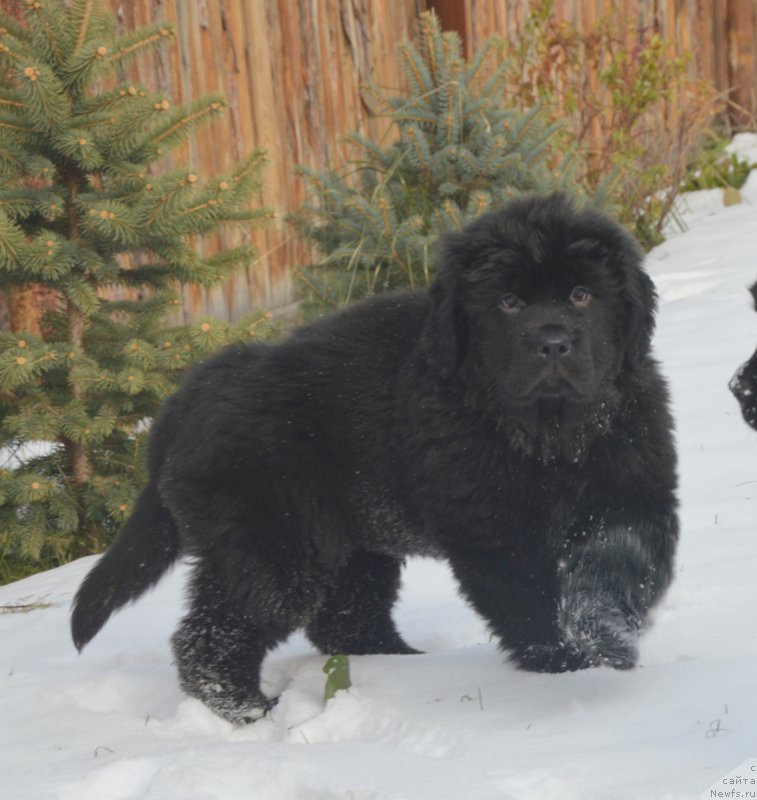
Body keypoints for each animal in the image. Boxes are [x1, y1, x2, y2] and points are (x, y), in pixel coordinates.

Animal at [72, 192, 680, 724]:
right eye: (508, 303)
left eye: (581, 294)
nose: (552, 343)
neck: (548, 433)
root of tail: (191, 392)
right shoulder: (493, 530)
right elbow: (530, 597)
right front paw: (564, 662)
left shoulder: (634, 489)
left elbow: (621, 562)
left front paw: (602, 638)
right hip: (271, 544)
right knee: (214, 633)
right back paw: (250, 711)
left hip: (347, 545)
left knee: (344, 620)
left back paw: (400, 664)